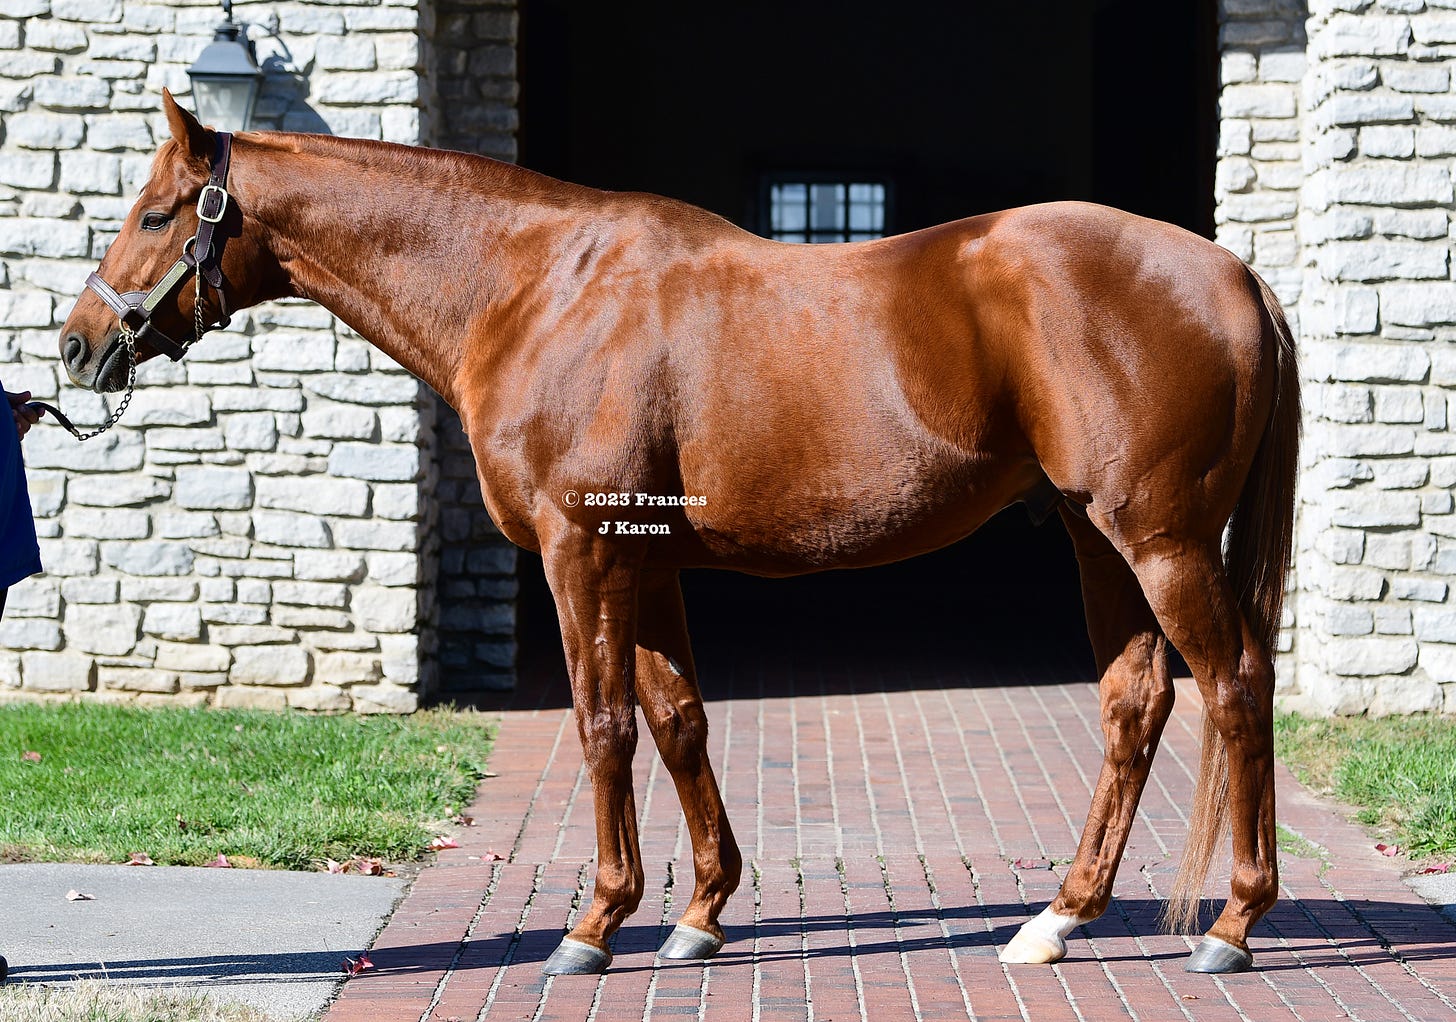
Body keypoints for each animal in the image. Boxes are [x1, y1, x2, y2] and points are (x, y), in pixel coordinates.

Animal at [59, 93, 1298, 978]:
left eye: (158, 212)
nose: (75, 346)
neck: (535, 289)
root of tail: (1233, 272)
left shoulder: (585, 552)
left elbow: (604, 725)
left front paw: (594, 922)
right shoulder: (646, 562)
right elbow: (678, 720)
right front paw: (697, 911)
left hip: (1162, 539)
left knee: (1235, 685)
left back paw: (1230, 923)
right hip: (1095, 535)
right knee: (1135, 698)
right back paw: (1057, 917)